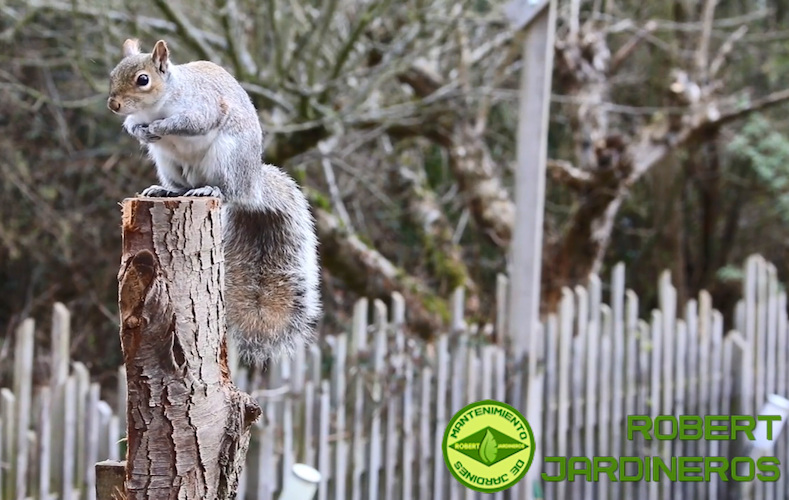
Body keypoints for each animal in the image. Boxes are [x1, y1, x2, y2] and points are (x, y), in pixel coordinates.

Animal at [107, 39, 320, 366]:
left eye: (143, 80)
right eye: (113, 74)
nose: (113, 105)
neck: (157, 105)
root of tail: (252, 186)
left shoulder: (201, 106)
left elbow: (192, 122)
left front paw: (160, 128)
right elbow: (134, 125)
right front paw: (138, 130)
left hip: (226, 156)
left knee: (227, 190)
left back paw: (210, 189)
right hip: (168, 163)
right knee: (180, 185)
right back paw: (165, 190)